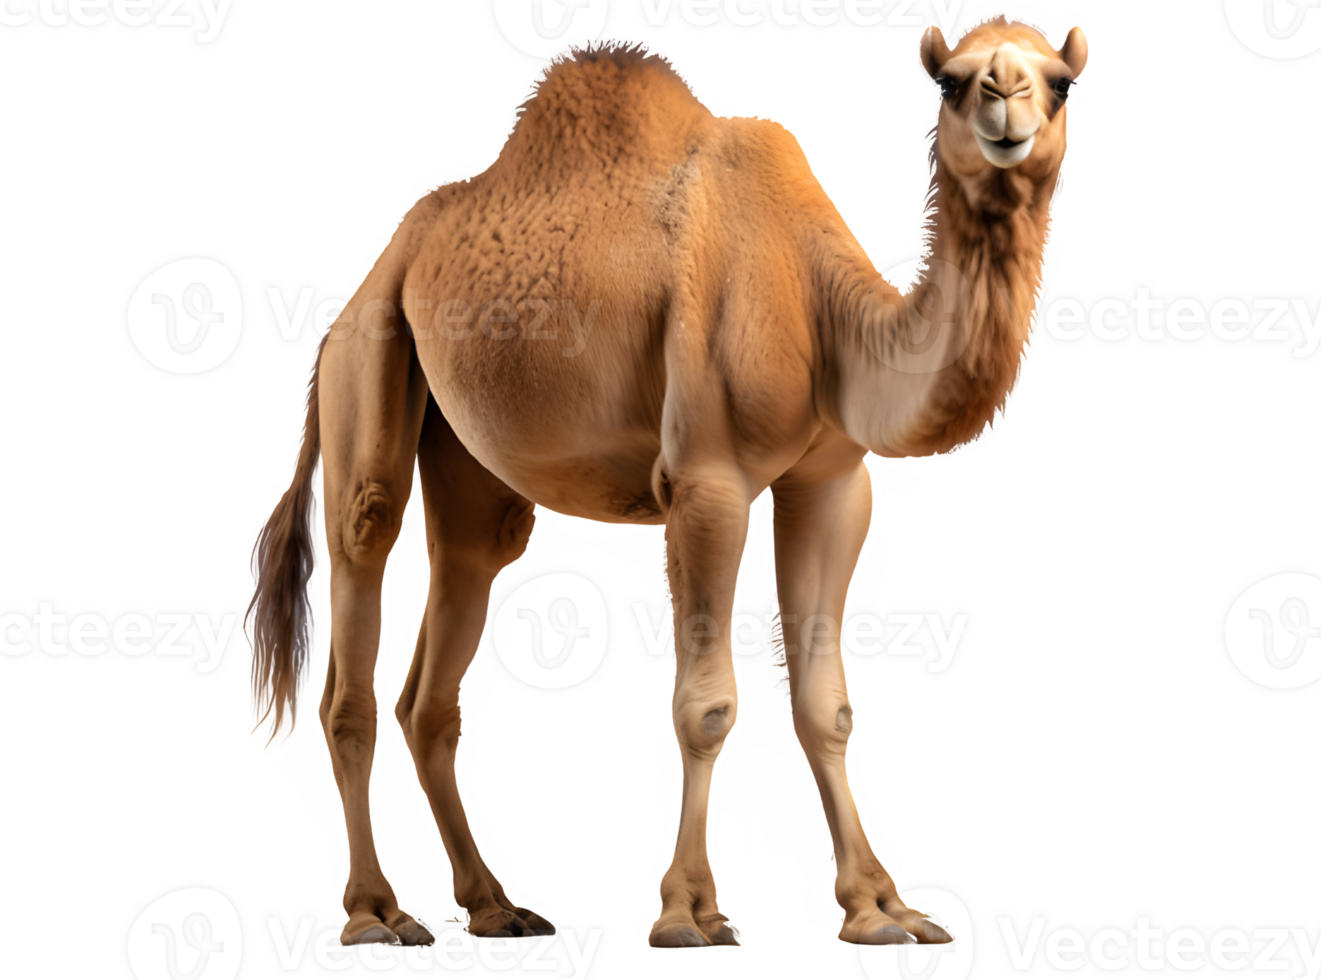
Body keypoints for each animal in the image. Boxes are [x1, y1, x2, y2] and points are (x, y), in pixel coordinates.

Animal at [243, 12, 1090, 950]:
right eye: (949, 81)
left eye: (1062, 83)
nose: (1007, 100)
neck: (823, 307)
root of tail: (353, 301)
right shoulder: (703, 480)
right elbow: (706, 704)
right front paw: (690, 912)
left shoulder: (833, 483)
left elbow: (824, 701)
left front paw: (881, 909)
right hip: (371, 366)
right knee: (360, 581)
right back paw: (377, 914)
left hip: (467, 451)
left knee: (446, 632)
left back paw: (493, 904)